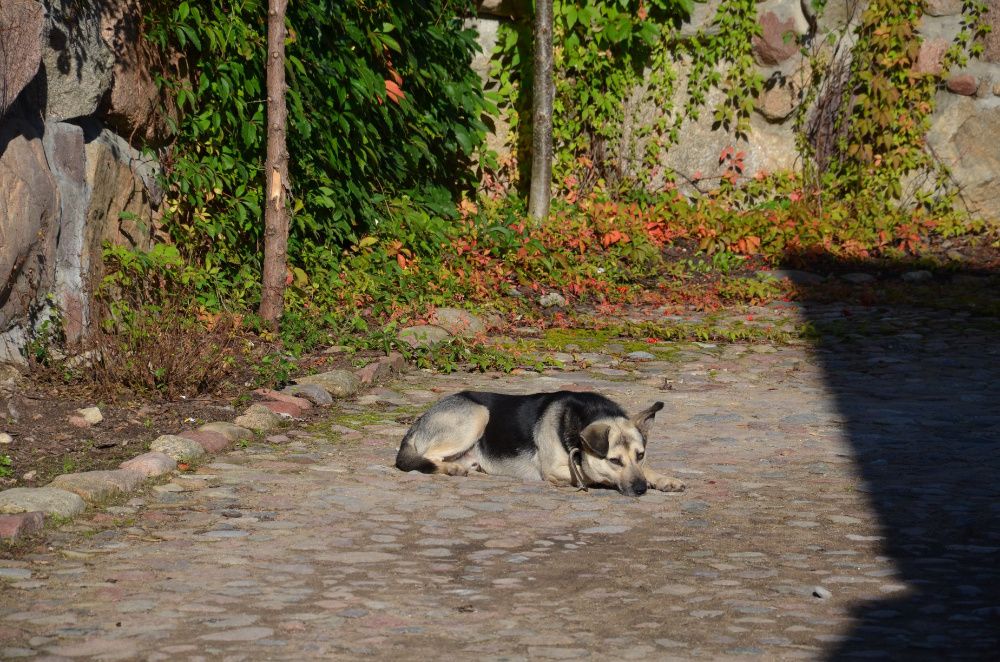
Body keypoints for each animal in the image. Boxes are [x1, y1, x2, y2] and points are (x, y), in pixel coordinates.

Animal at [394, 390, 684, 498]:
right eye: (614, 461)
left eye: (641, 454)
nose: (641, 490)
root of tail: (418, 422)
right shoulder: (555, 469)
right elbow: (590, 473)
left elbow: (647, 470)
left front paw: (664, 479)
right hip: (478, 414)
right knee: (426, 458)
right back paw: (453, 469)